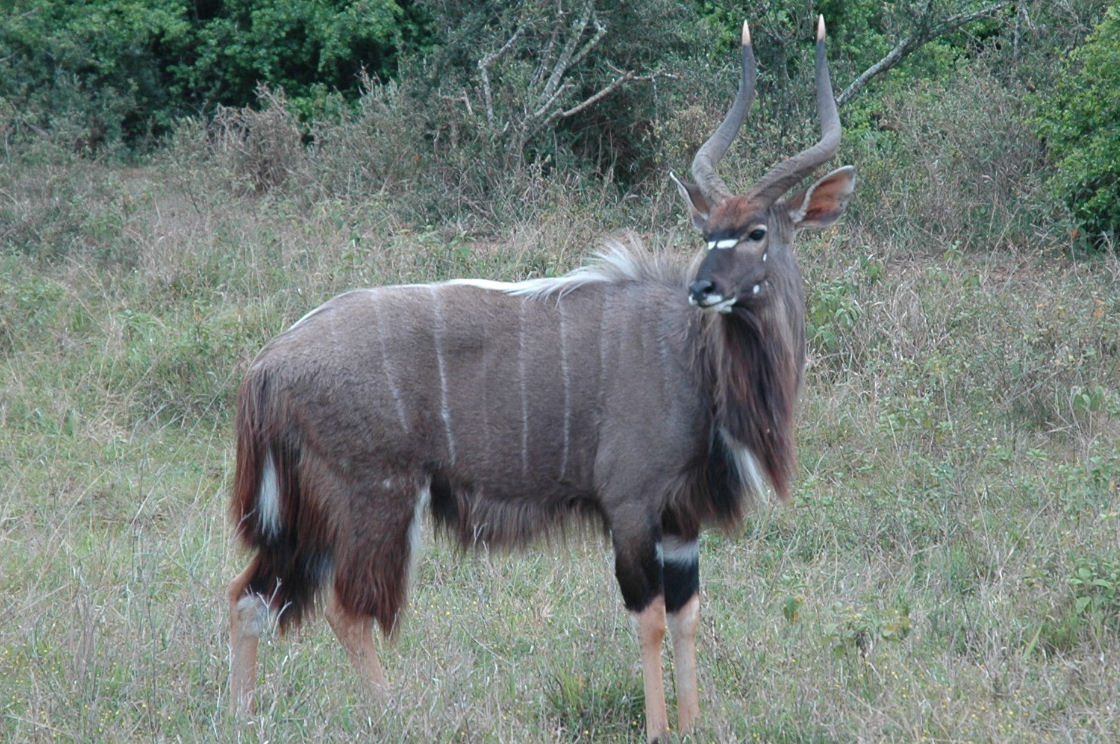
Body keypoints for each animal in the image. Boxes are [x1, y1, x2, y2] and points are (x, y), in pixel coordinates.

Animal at [227, 14, 855, 739]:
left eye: (755, 232)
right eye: (707, 232)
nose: (703, 288)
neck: (692, 358)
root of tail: (269, 363)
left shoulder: (681, 518)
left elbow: (688, 614)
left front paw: (694, 723)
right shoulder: (630, 506)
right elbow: (649, 620)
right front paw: (659, 726)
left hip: (310, 512)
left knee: (251, 598)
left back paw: (242, 717)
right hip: (372, 498)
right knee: (346, 608)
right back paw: (395, 717)